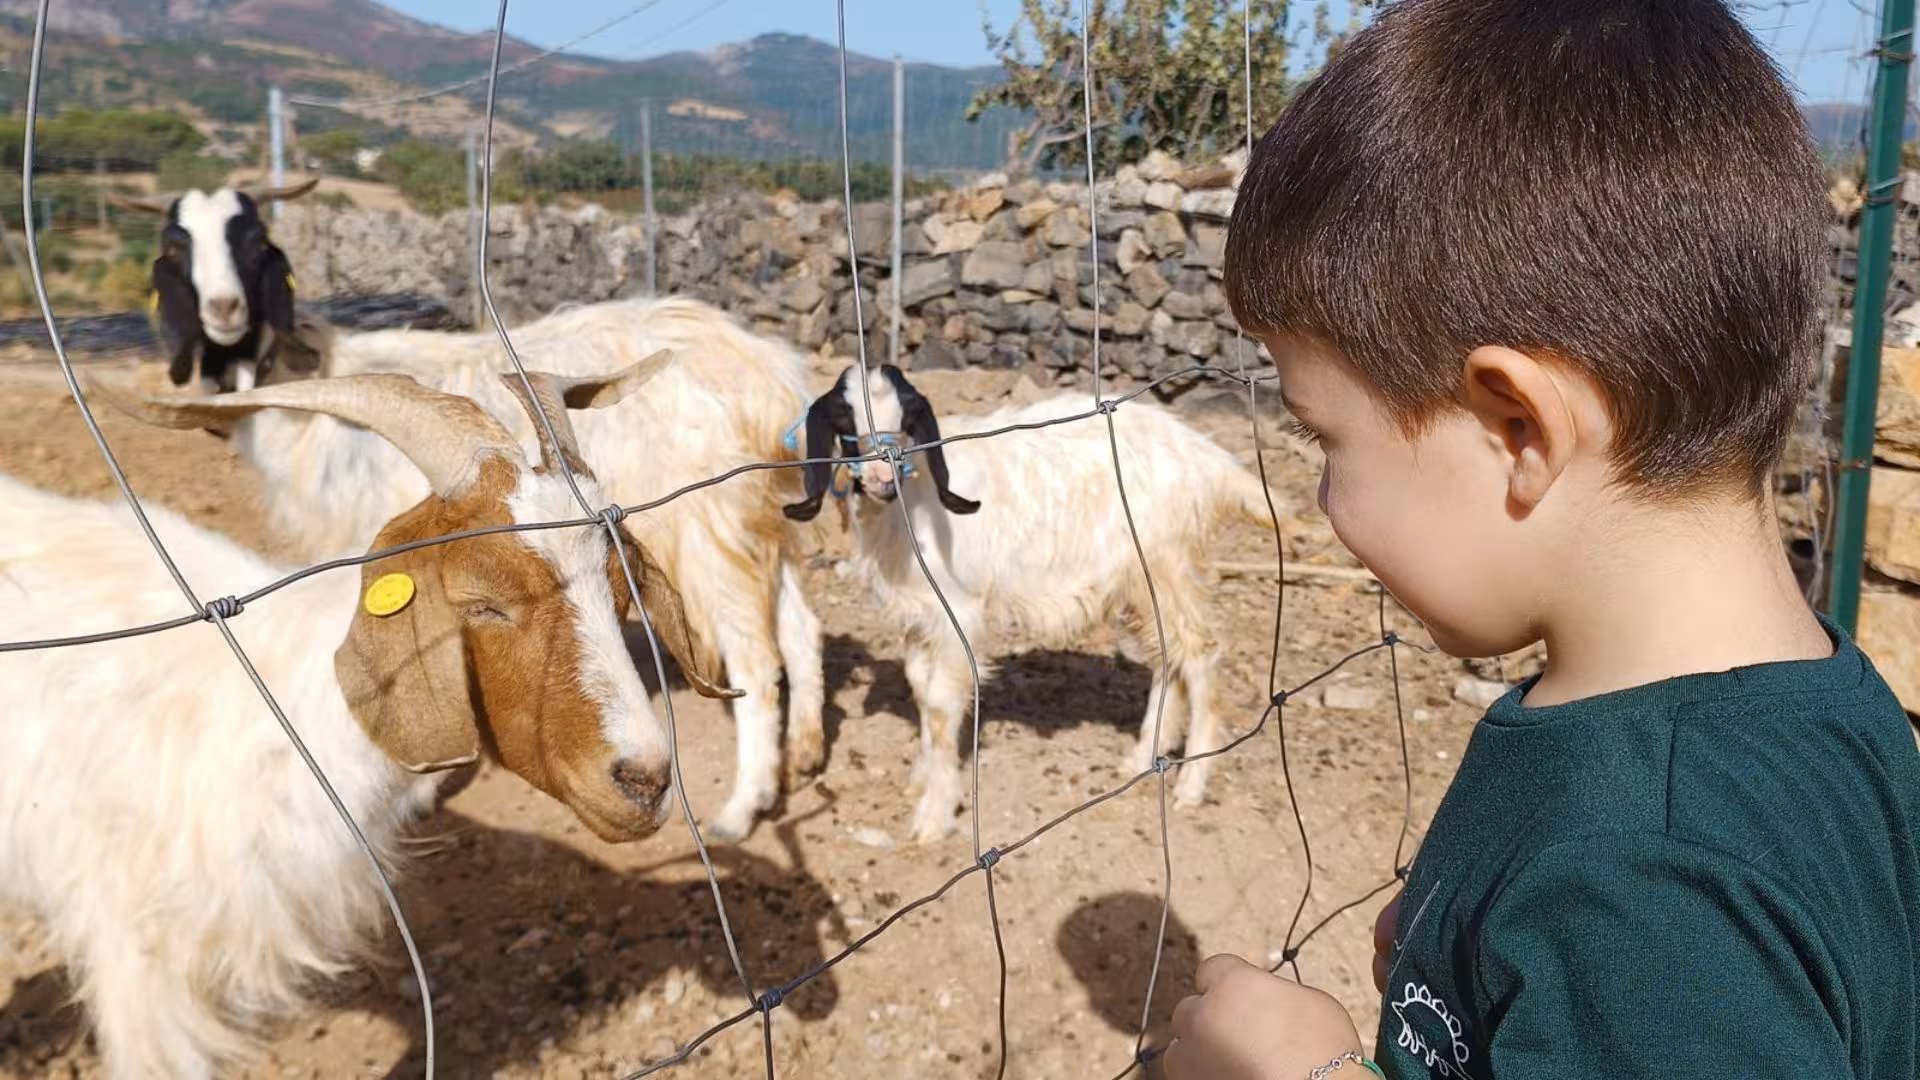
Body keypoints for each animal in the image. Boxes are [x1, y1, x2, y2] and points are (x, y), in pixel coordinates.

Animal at [144, 283, 828, 843]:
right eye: (483, 604)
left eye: (622, 592)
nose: (646, 783)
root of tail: (774, 380)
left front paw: (420, 788)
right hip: (764, 516)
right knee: (801, 626)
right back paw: (806, 751)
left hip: (710, 529)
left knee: (756, 658)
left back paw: (743, 806)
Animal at [783, 364, 1277, 843]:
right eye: (847, 421)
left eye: (905, 420)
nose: (884, 478)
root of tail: (1207, 458)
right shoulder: (918, 615)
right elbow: (921, 692)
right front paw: (921, 779)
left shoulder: (958, 612)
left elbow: (941, 706)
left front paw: (934, 815)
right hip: (1141, 582)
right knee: (1168, 658)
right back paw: (1142, 759)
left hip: (1166, 565)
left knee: (1200, 653)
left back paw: (1191, 787)